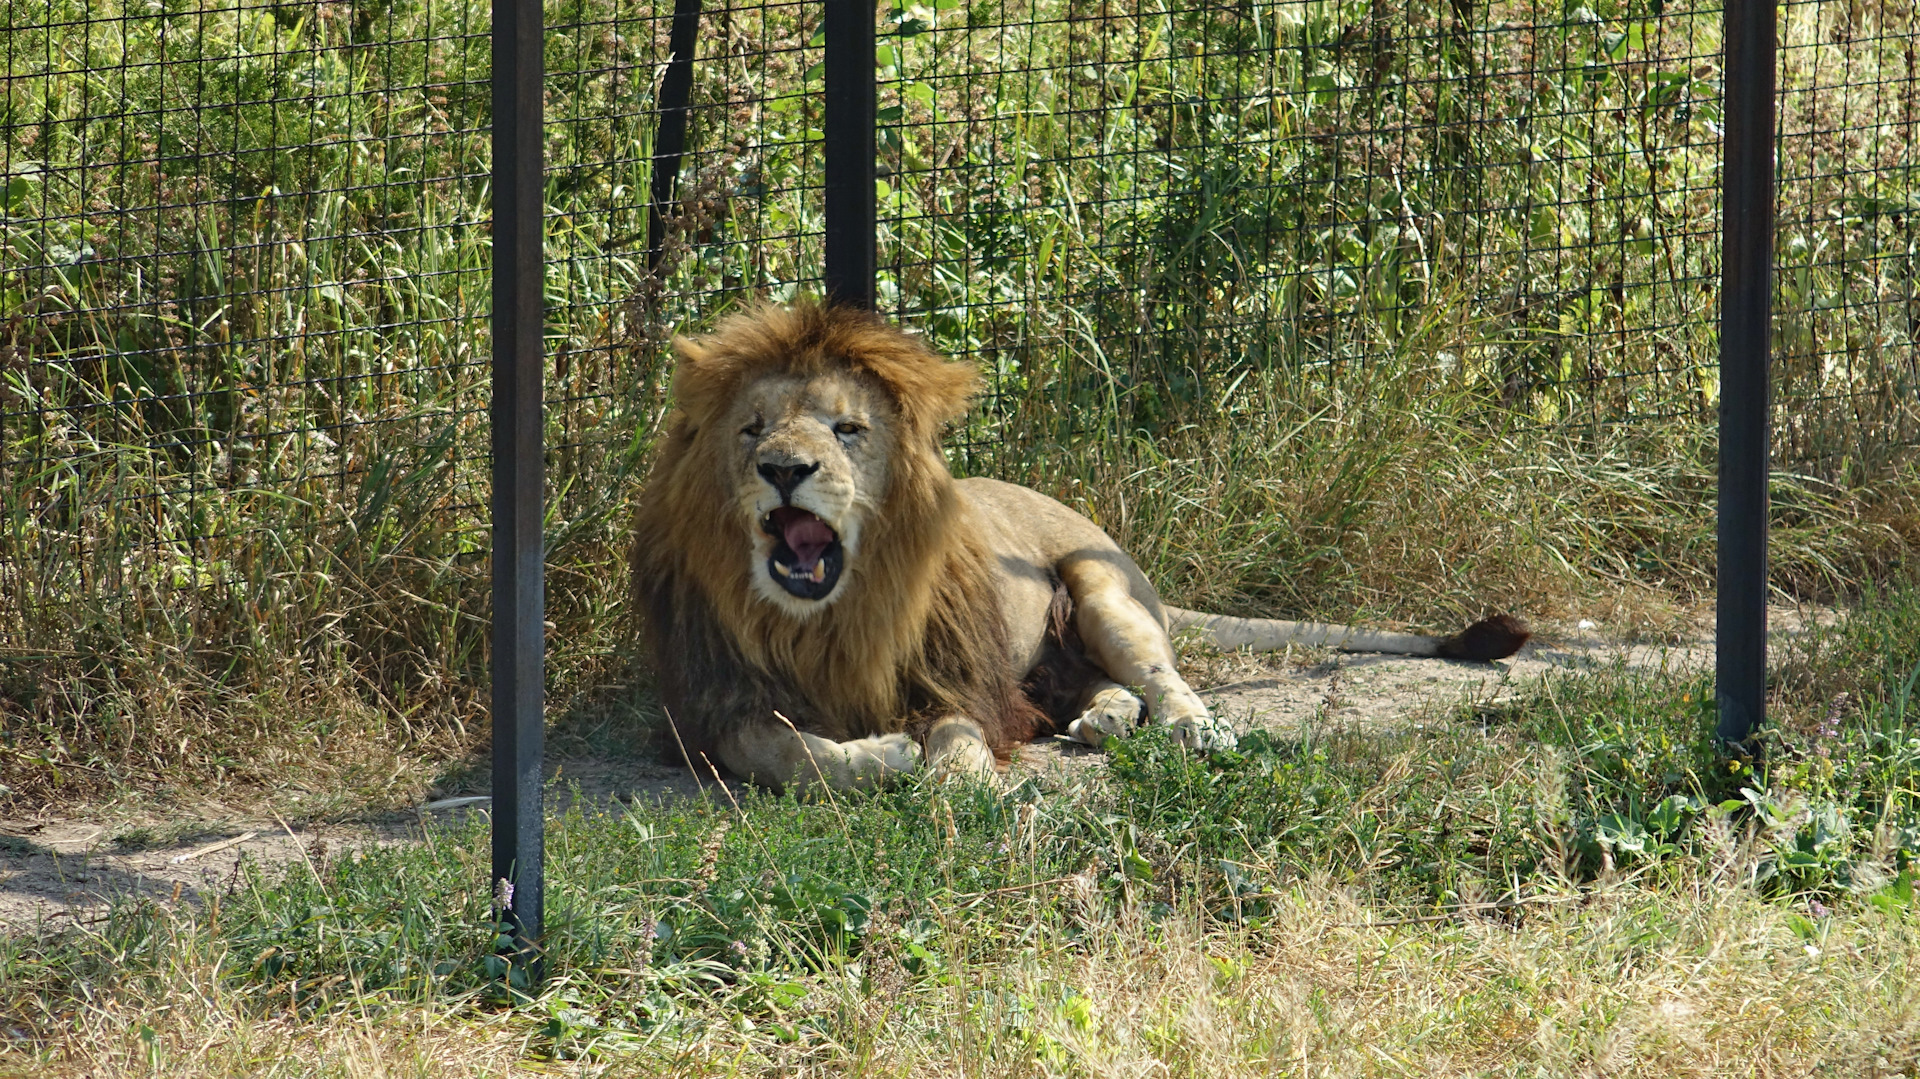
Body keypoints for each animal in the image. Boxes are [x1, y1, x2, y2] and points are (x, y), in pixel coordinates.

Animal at [633, 299, 1528, 791]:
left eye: (847, 429)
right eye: (752, 430)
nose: (785, 468)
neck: (827, 616)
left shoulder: (955, 675)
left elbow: (960, 737)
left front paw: (959, 782)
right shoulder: (719, 700)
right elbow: (785, 750)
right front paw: (879, 756)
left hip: (1103, 592)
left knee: (1164, 677)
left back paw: (1188, 729)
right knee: (1103, 686)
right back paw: (1100, 719)